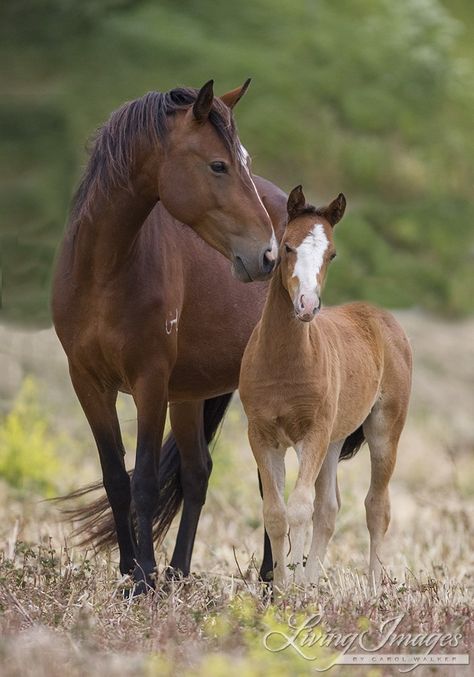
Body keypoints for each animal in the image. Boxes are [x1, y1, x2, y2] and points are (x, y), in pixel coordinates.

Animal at [241, 186, 412, 592]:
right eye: (287, 246)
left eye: (331, 254)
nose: (307, 305)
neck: (284, 362)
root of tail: (381, 317)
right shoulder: (262, 435)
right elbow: (276, 512)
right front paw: (283, 587)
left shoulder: (313, 434)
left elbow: (299, 507)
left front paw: (290, 590)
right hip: (335, 440)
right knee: (330, 508)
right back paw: (311, 581)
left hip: (383, 430)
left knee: (377, 506)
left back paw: (373, 587)